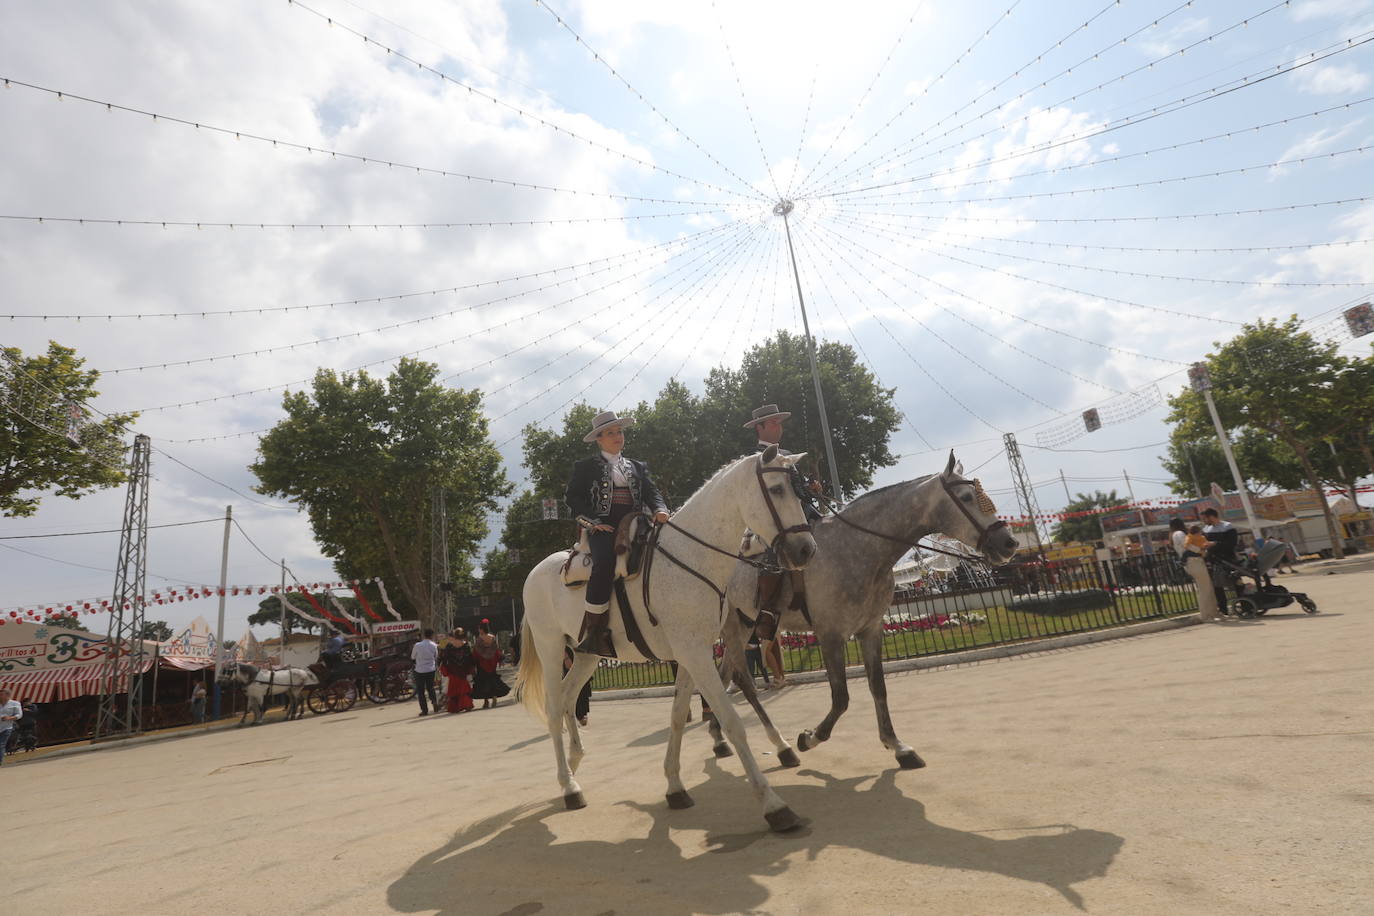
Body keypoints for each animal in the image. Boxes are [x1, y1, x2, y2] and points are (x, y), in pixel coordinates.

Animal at [516, 447, 813, 834]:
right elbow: (733, 721)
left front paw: (674, 787)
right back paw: (569, 787)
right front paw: (775, 806)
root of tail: (535, 571)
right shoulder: (696, 652)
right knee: (553, 708)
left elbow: (676, 717)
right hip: (551, 647)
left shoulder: (691, 652)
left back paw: (574, 763)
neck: (693, 557)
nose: (807, 550)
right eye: (777, 489)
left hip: (586, 654)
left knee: (568, 699)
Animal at [697, 455, 1022, 769]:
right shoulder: (830, 635)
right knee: (743, 682)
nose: (1010, 542)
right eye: (966, 497)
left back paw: (719, 738)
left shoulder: (871, 628)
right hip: (733, 629)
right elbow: (841, 697)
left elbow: (878, 687)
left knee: (724, 677)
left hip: (746, 625)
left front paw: (897, 746)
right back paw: (782, 747)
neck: (859, 548)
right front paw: (810, 737)